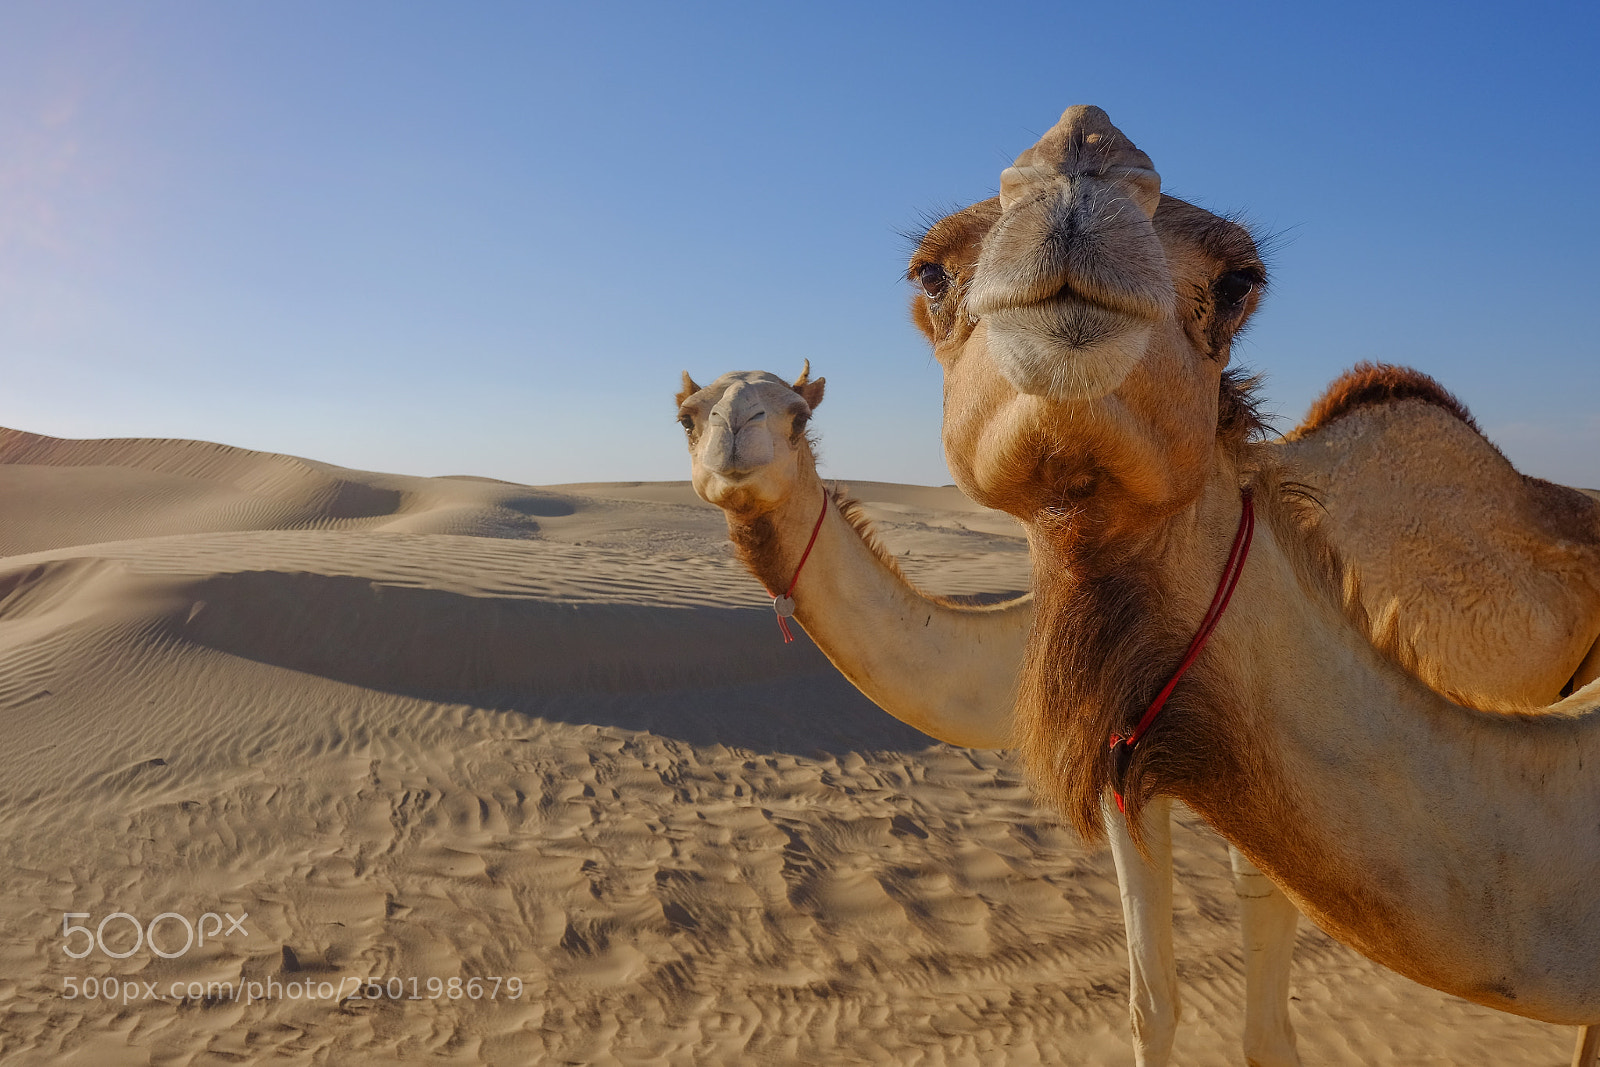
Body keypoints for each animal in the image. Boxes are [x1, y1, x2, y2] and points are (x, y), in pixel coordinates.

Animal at [678, 362, 1600, 1065]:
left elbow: (1252, 1006)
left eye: (796, 416)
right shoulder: (1129, 766)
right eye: (688, 413)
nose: (735, 441)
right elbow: (1151, 1005)